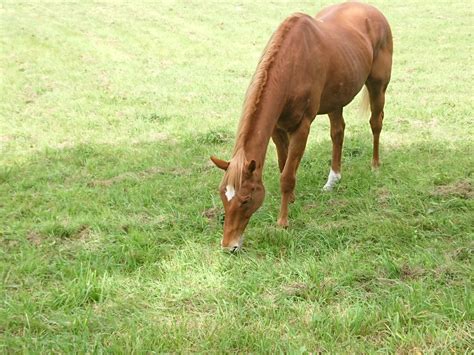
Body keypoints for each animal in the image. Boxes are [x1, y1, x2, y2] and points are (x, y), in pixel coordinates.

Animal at [211, 3, 392, 253]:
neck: (292, 63)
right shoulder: (277, 129)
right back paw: (333, 179)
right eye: (222, 195)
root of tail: (373, 11)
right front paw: (292, 200)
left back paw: (375, 165)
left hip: (378, 86)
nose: (229, 246)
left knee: (376, 123)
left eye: (246, 199)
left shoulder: (302, 127)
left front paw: (282, 222)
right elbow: (283, 165)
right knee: (338, 133)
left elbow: (287, 176)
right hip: (336, 98)